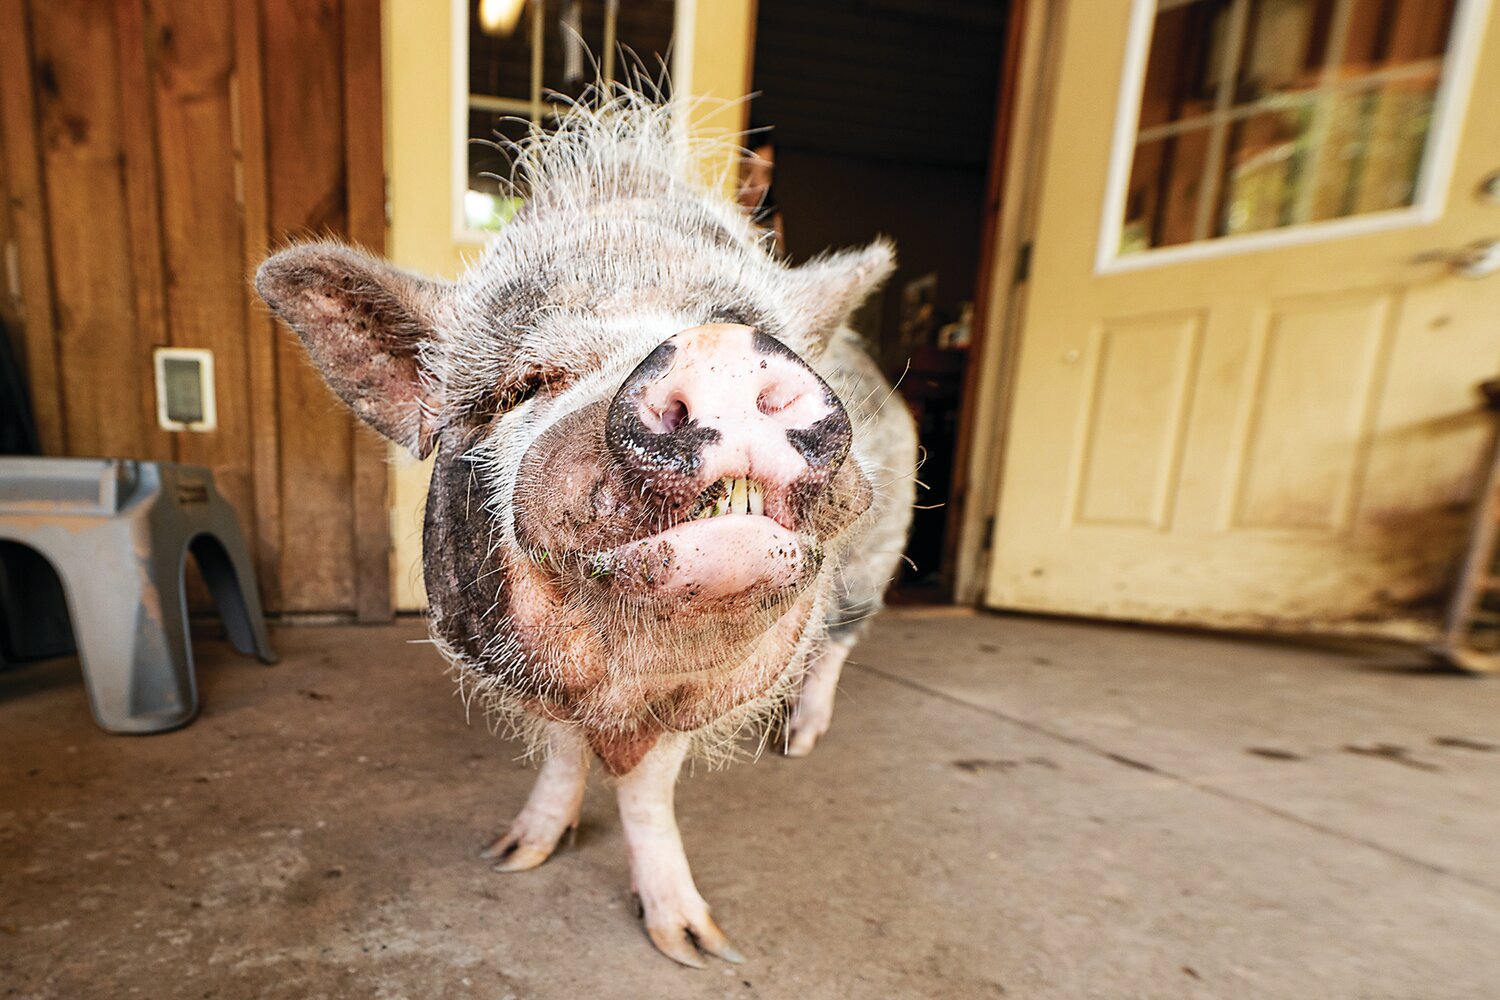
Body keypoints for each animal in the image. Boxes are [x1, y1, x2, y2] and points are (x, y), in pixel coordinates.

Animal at [256, 93, 912, 971]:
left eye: (734, 326)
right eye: (525, 385)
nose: (716, 347)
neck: (625, 696)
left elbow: (650, 788)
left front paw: (698, 948)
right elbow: (562, 749)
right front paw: (511, 857)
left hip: (877, 561)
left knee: (839, 641)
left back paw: (799, 745)